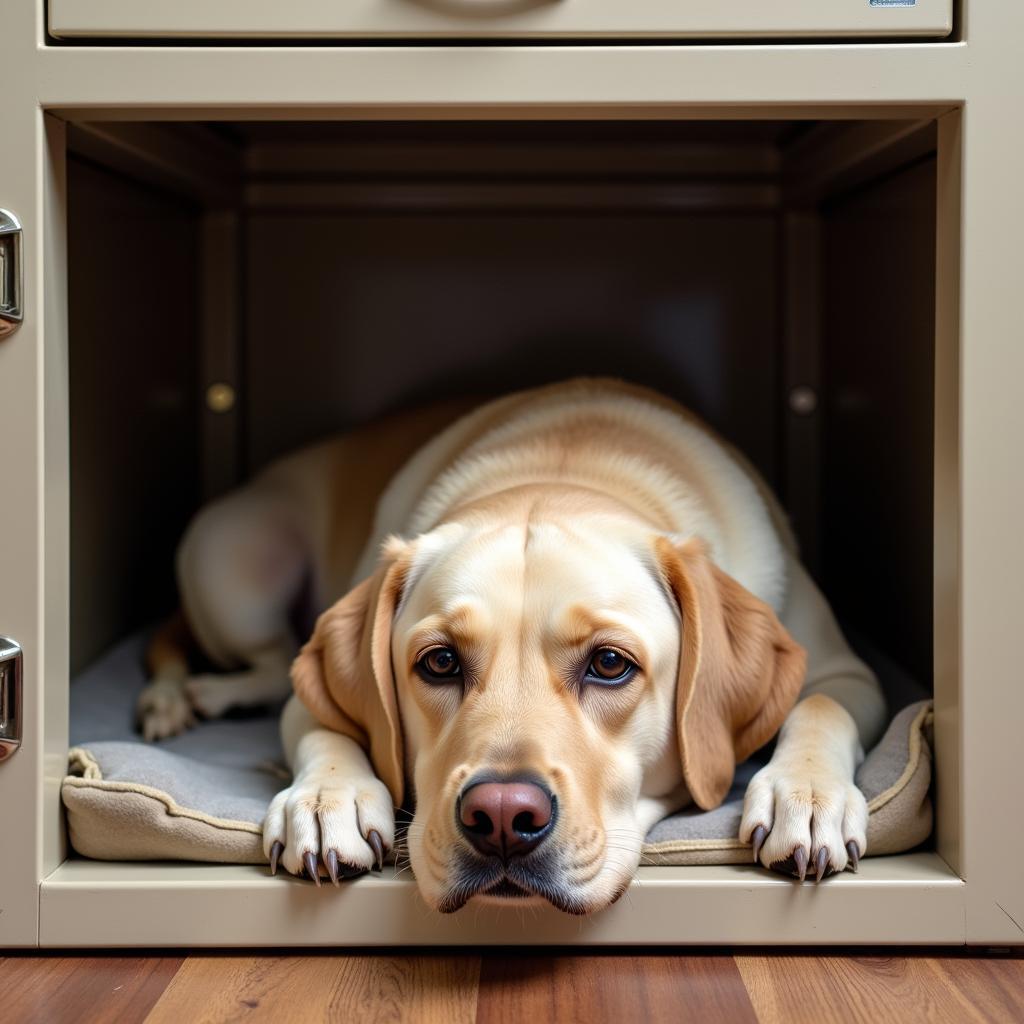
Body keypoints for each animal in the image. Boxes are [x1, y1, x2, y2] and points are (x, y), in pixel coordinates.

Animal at [140, 380, 884, 917]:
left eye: (610, 665)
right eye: (439, 661)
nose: (500, 817)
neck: (565, 466)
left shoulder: (849, 675)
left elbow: (820, 707)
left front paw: (805, 796)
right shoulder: (312, 688)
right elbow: (328, 728)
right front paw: (328, 801)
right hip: (234, 562)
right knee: (267, 664)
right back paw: (192, 695)